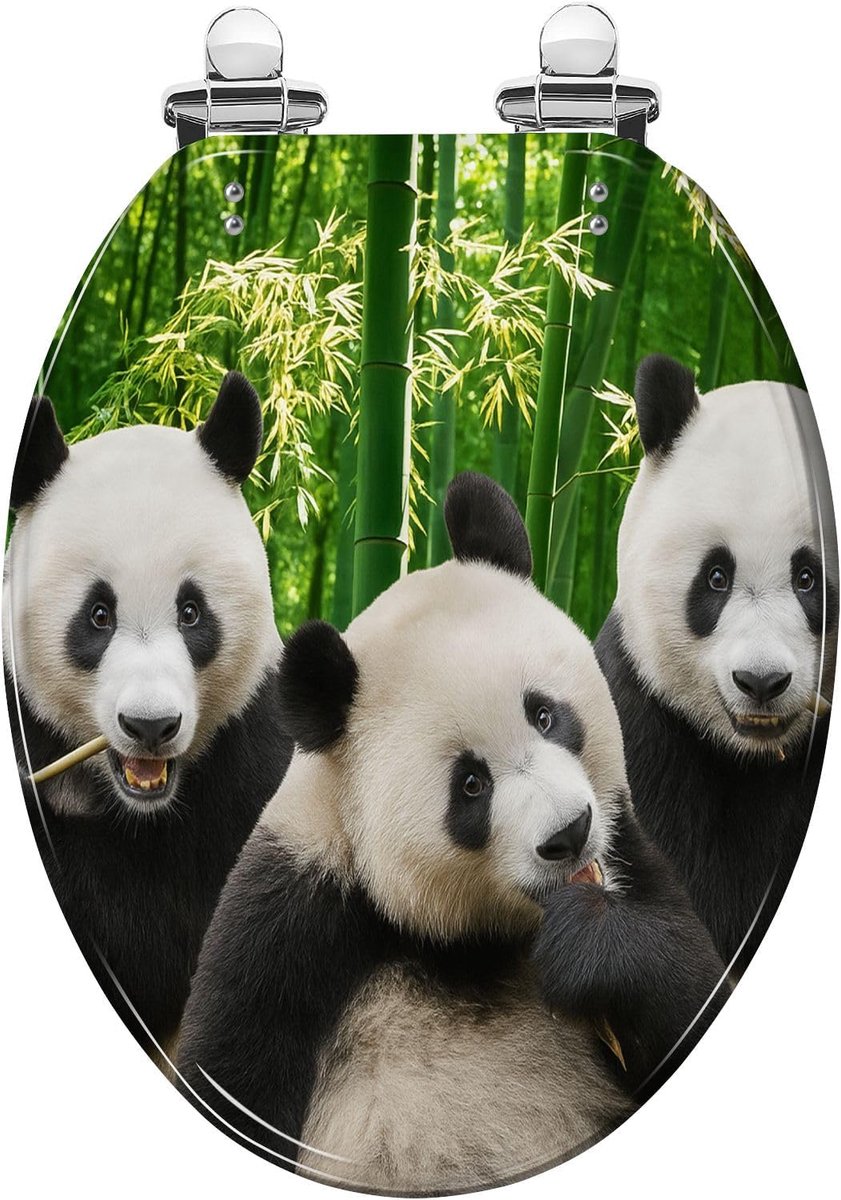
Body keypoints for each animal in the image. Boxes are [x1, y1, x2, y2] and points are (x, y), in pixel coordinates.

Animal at [176, 472, 726, 1195]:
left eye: (545, 715)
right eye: (470, 785)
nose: (569, 833)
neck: (468, 945)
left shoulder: (629, 854)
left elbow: (688, 988)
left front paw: (592, 944)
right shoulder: (289, 917)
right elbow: (234, 1068)